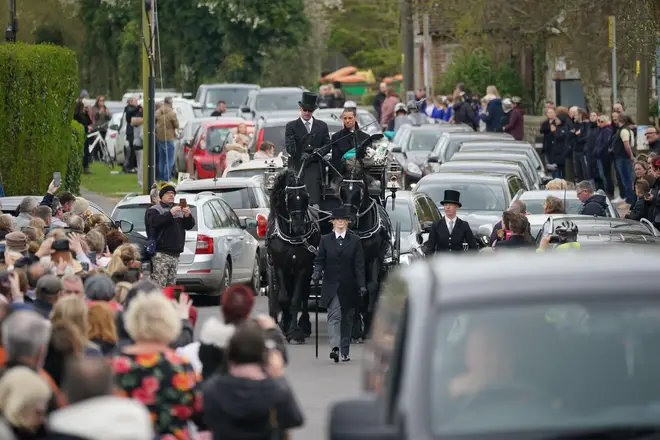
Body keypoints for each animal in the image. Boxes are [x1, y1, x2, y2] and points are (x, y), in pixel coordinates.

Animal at [266, 168, 320, 344]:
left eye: (305, 197)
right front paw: (285, 325)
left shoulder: (302, 267)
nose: (299, 227)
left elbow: (296, 299)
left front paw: (295, 332)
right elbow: (283, 298)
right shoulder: (279, 266)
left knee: (304, 293)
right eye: (288, 198)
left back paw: (304, 325)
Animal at [338, 166, 390, 340]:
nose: (349, 220)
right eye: (342, 191)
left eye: (359, 192)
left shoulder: (375, 258)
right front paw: (355, 328)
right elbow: (357, 288)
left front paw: (367, 322)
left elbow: (372, 286)